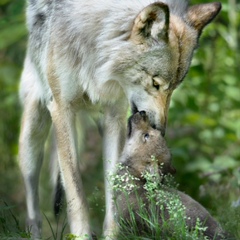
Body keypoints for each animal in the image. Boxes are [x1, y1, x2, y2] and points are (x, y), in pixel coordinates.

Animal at [19, 0, 220, 238]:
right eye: (155, 83)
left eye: (174, 87)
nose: (160, 129)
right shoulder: (62, 109)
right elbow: (76, 194)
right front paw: (82, 234)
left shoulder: (115, 115)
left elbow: (115, 189)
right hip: (33, 137)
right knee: (33, 204)